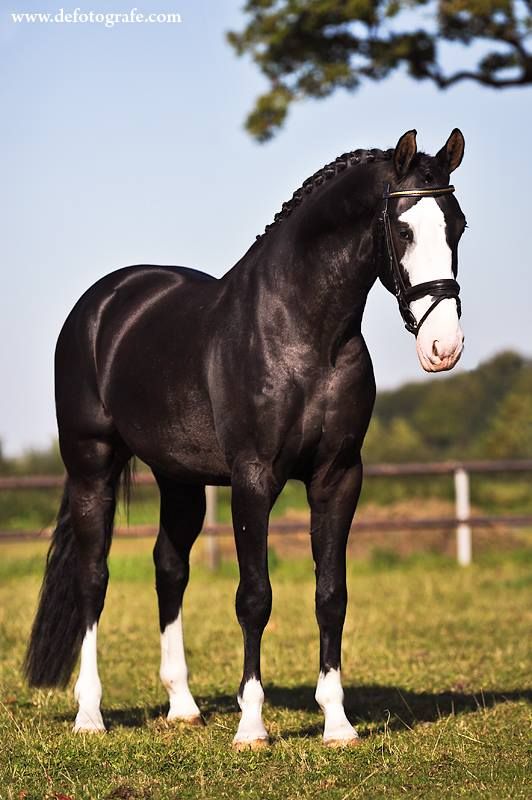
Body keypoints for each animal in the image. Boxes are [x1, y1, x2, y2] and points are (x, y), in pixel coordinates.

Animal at [25, 128, 466, 748]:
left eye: (458, 226)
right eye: (403, 230)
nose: (443, 347)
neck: (301, 333)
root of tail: (104, 302)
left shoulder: (338, 476)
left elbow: (331, 595)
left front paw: (337, 723)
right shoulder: (254, 478)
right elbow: (254, 597)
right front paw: (252, 725)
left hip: (178, 479)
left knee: (169, 569)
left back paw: (183, 706)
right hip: (92, 464)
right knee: (93, 578)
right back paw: (90, 714)